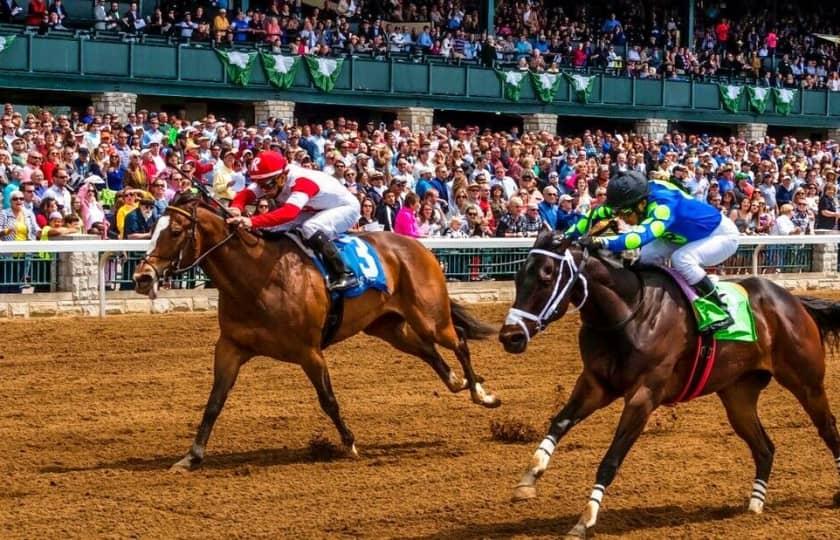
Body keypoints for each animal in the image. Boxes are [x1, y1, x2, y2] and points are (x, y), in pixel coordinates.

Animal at [133, 195, 498, 472]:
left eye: (175, 231)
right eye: (152, 229)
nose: (142, 277)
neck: (259, 278)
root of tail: (418, 247)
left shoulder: (309, 351)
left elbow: (328, 400)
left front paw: (349, 444)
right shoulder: (230, 347)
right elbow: (214, 403)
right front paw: (191, 457)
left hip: (430, 316)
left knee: (458, 341)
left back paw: (482, 394)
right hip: (387, 326)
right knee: (428, 351)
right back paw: (459, 383)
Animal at [498, 227, 840, 536]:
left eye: (546, 277)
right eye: (517, 278)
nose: (510, 337)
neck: (630, 313)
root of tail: (793, 302)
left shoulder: (643, 396)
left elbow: (610, 459)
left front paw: (585, 519)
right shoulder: (595, 384)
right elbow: (559, 422)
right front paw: (528, 480)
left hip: (806, 382)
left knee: (827, 427)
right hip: (737, 394)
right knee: (765, 448)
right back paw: (754, 504)